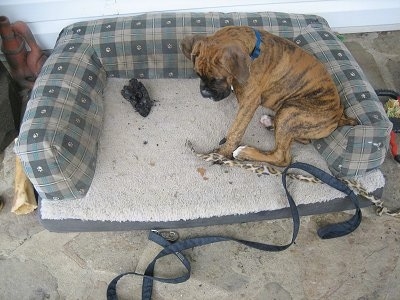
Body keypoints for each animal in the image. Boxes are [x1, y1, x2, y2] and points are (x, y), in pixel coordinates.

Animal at [180, 25, 358, 166]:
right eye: (198, 74)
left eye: (217, 79)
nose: (204, 93)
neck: (253, 52)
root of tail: (339, 115)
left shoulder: (249, 102)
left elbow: (235, 130)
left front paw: (222, 153)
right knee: (302, 139)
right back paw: (270, 122)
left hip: (291, 110)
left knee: (282, 157)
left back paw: (244, 152)